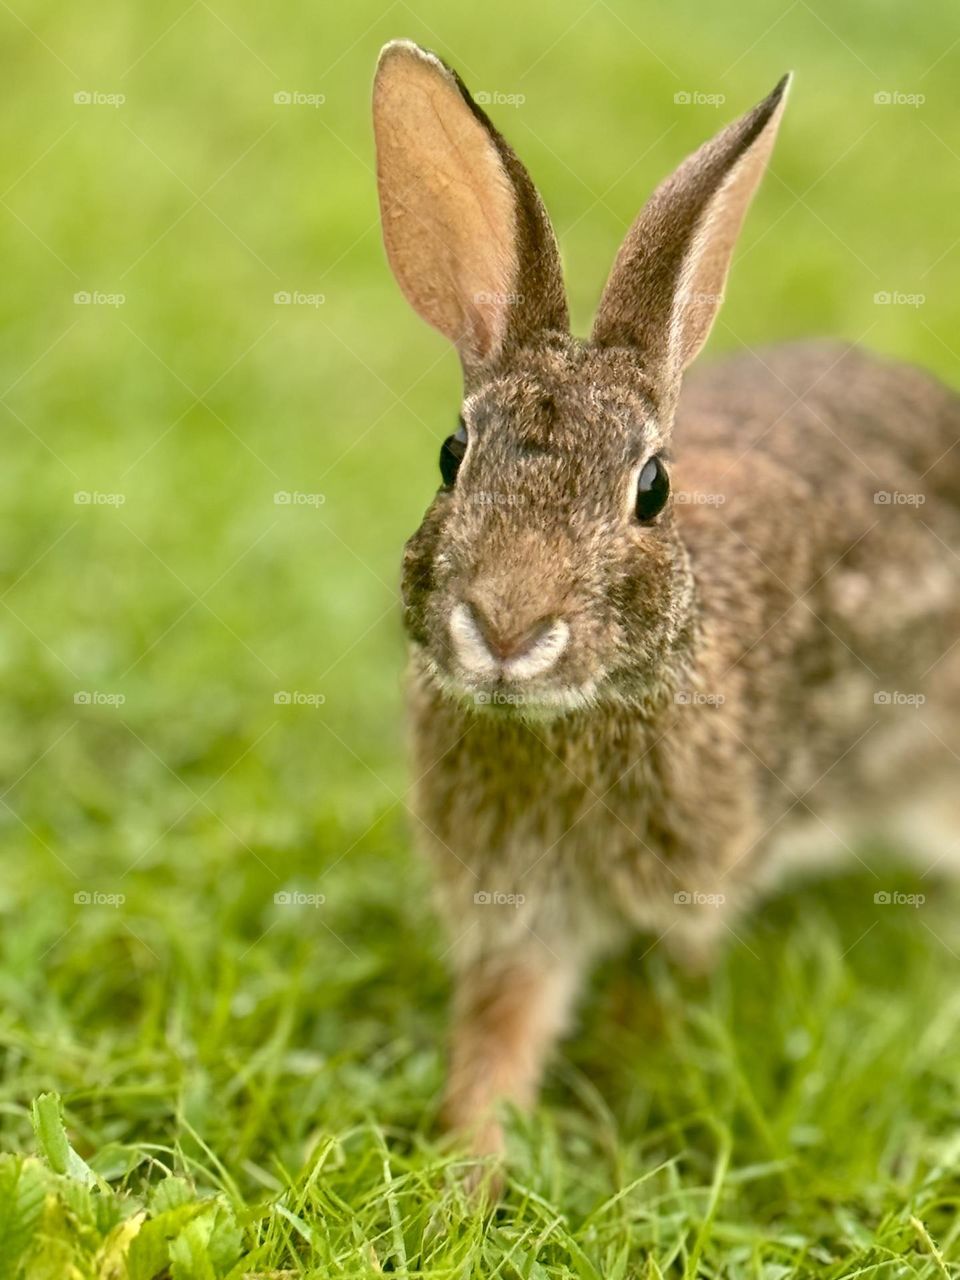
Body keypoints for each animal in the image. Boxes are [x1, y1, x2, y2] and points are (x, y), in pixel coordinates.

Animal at [372, 39, 960, 1185]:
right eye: (452, 456)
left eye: (652, 488)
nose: (506, 627)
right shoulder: (515, 905)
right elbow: (501, 1032)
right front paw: (467, 1173)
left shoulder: (695, 879)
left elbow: (656, 999)